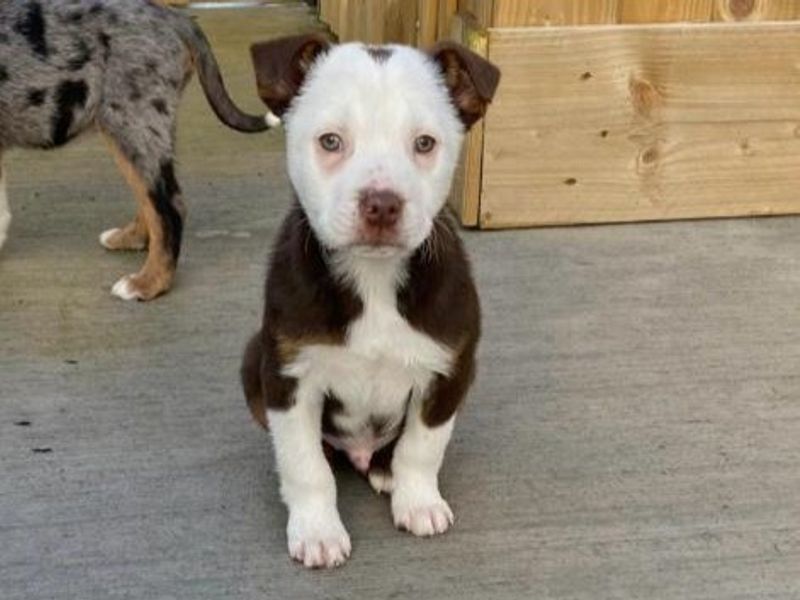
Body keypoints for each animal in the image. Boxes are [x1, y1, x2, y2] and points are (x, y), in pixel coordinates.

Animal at [0, 0, 276, 300]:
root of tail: (171, 15)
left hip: (132, 119)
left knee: (168, 206)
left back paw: (148, 283)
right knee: (149, 196)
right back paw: (129, 239)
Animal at [241, 32, 496, 568]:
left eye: (424, 144)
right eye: (330, 141)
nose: (382, 204)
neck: (373, 279)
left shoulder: (450, 369)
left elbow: (422, 447)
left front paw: (418, 502)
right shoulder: (289, 375)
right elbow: (305, 464)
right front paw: (317, 530)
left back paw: (384, 471)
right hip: (253, 356)